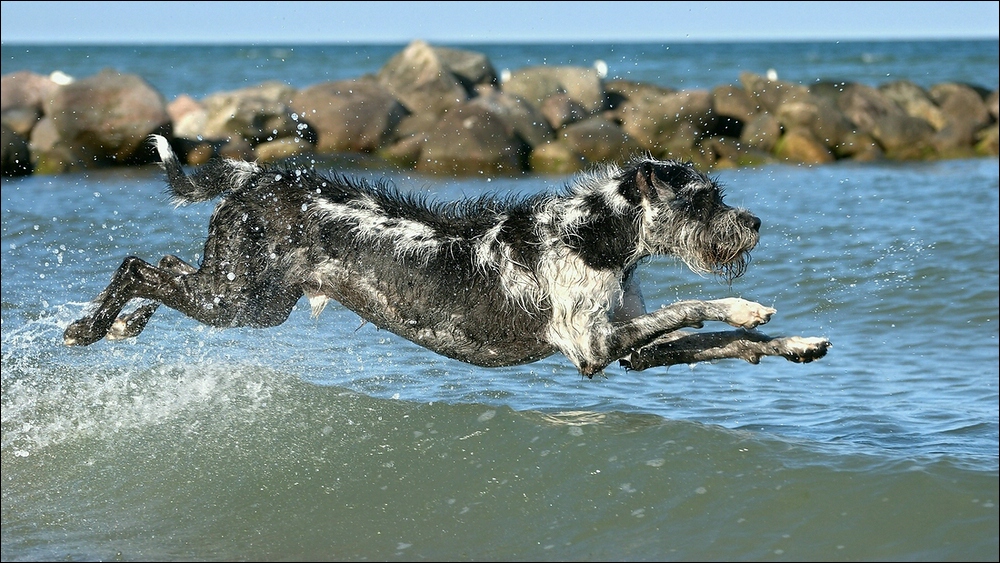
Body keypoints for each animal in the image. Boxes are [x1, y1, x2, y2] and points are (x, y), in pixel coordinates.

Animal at [62, 134, 828, 376]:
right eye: (702, 198)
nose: (754, 223)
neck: (598, 232)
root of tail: (258, 176)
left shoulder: (627, 350)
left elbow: (716, 341)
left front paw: (796, 343)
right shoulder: (593, 344)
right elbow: (701, 305)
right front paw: (750, 306)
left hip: (244, 295)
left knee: (163, 272)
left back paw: (124, 325)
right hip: (238, 299)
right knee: (136, 266)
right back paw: (91, 326)